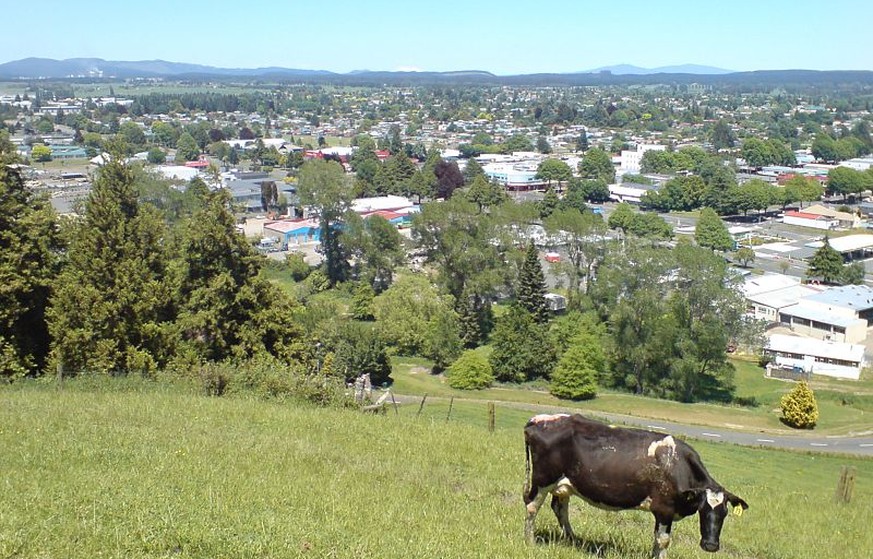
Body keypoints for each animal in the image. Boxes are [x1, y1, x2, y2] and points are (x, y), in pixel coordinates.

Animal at [520, 414, 744, 556]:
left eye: (724, 513)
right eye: (703, 509)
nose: (711, 545)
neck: (678, 464)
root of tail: (537, 420)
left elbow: (658, 540)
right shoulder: (664, 508)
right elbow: (663, 540)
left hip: (564, 484)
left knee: (560, 508)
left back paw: (572, 540)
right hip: (542, 480)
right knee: (531, 507)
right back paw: (530, 542)